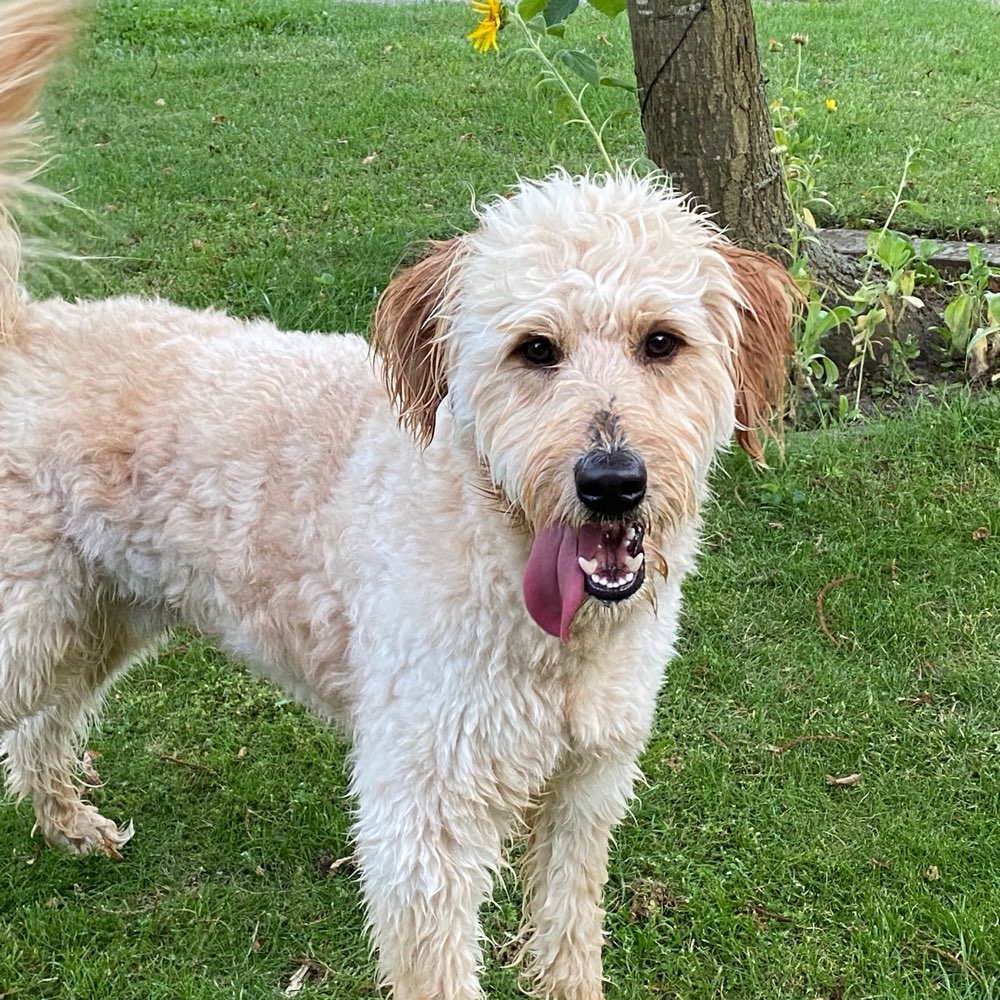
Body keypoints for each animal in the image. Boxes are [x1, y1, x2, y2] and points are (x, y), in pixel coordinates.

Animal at [0, 3, 796, 996]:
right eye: (536, 349)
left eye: (662, 341)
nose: (612, 482)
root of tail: (28, 329)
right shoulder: (424, 817)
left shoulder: (586, 787)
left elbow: (569, 930)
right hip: (32, 625)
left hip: (93, 619)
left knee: (44, 727)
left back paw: (68, 824)